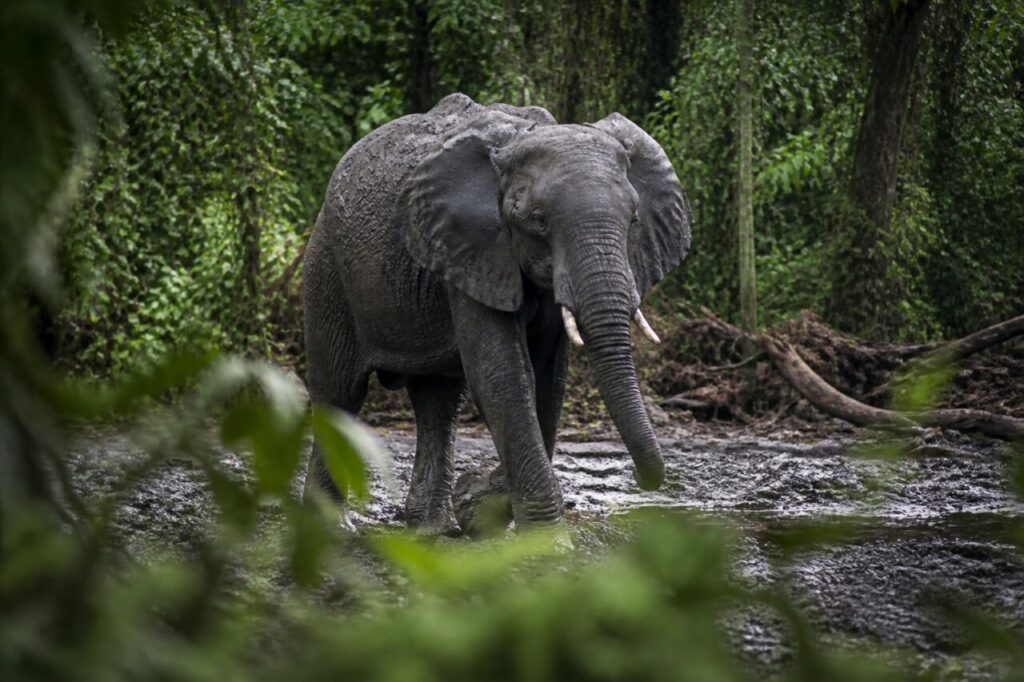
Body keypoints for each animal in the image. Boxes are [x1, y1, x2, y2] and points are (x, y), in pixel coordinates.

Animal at [303, 93, 691, 533]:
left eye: (634, 218)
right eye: (538, 221)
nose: (642, 478)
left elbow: (547, 377)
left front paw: (478, 502)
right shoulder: (471, 248)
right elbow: (502, 372)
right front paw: (541, 535)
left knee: (438, 400)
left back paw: (431, 529)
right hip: (328, 265)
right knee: (340, 391)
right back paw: (332, 526)